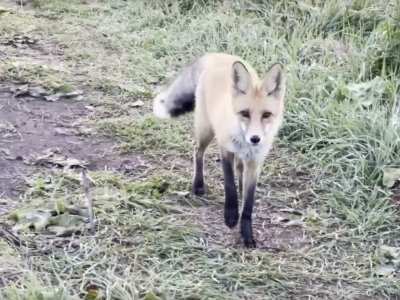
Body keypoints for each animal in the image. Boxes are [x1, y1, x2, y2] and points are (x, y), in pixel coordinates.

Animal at [152, 52, 286, 248]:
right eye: (244, 113)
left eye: (266, 115)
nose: (255, 139)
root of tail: (217, 55)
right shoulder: (225, 149)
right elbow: (229, 185)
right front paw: (230, 216)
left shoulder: (255, 163)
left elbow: (248, 204)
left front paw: (246, 233)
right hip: (205, 131)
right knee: (197, 152)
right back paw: (198, 185)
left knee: (239, 168)